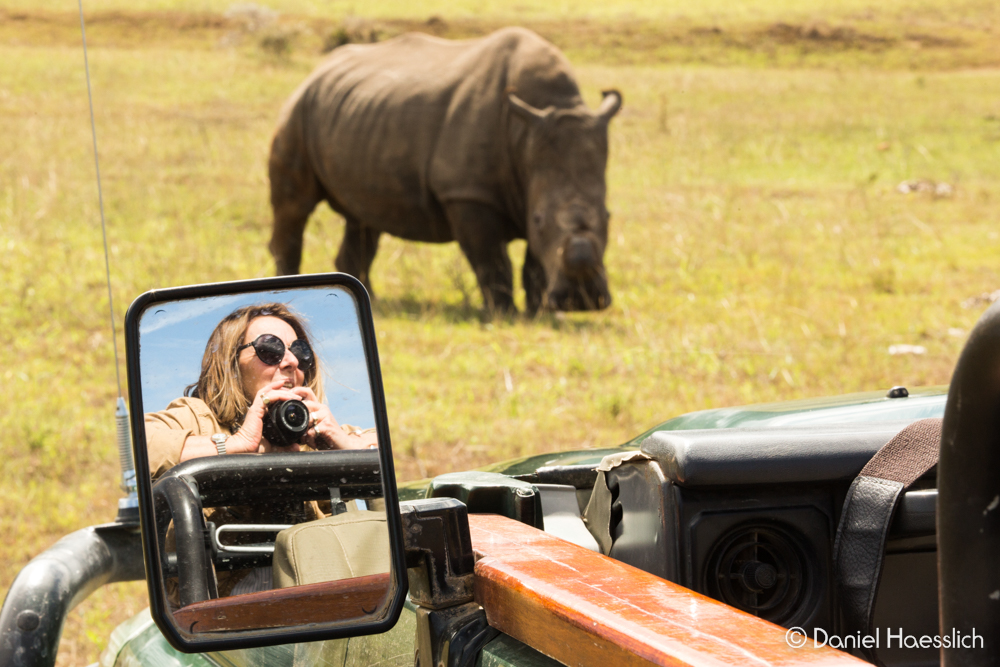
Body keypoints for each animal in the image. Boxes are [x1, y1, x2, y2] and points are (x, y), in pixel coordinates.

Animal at [270, 26, 620, 316]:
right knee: (294, 207)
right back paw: (289, 284)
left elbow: (533, 261)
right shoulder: (467, 194)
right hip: (299, 109)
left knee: (364, 219)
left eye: (608, 217)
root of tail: (318, 71)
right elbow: (492, 260)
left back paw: (368, 298)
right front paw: (504, 313)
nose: (581, 302)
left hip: (354, 114)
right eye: (539, 219)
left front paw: (539, 312)